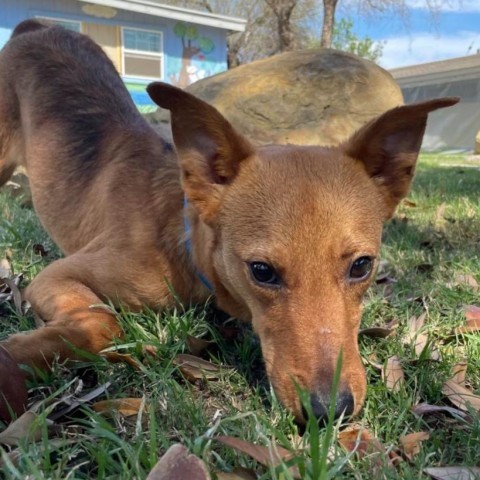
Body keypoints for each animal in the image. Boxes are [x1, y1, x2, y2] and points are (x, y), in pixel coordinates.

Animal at [0, 19, 458, 424]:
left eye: (362, 266)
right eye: (262, 271)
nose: (331, 411)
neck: (184, 242)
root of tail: (37, 28)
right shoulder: (57, 275)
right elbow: (100, 320)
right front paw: (26, 351)